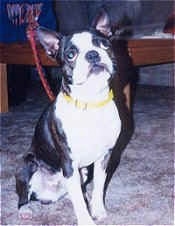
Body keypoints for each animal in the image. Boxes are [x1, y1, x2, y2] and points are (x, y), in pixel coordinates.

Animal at [16, 10, 133, 224]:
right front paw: (86, 220)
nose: (93, 54)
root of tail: (46, 195)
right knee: (24, 192)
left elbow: (98, 187)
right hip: (27, 165)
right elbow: (79, 200)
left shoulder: (104, 157)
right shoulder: (69, 163)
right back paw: (24, 209)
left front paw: (98, 210)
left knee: (75, 190)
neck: (91, 101)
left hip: (83, 172)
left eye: (104, 44)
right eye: (71, 54)